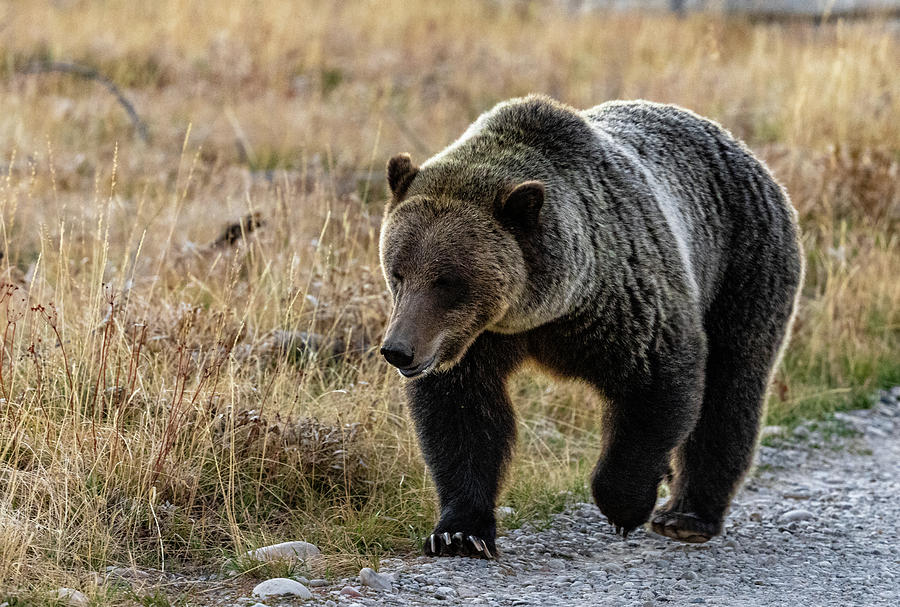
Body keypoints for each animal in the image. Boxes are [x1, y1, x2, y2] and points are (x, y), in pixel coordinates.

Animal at [378, 95, 803, 558]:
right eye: (398, 272)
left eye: (447, 281)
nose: (398, 350)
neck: (543, 308)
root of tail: (746, 151)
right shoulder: (476, 339)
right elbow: (462, 417)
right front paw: (459, 533)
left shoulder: (625, 301)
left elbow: (658, 388)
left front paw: (626, 505)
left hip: (744, 265)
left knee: (732, 389)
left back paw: (687, 516)